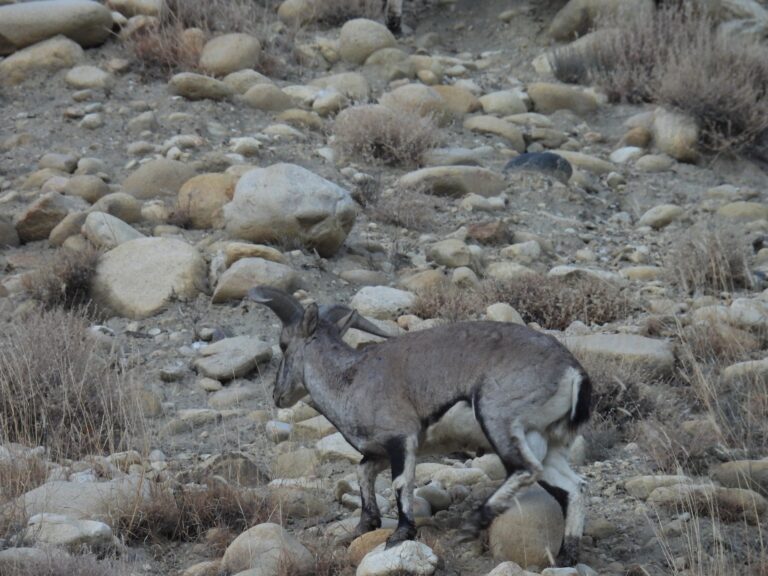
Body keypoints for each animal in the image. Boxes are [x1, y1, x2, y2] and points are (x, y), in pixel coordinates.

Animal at [249, 286, 591, 566]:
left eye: (283, 344)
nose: (278, 395)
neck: (351, 380)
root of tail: (573, 372)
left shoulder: (402, 439)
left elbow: (402, 484)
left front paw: (400, 534)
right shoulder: (380, 450)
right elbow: (362, 473)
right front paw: (363, 526)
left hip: (498, 418)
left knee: (525, 468)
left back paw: (473, 524)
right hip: (544, 441)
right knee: (572, 487)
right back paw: (568, 554)